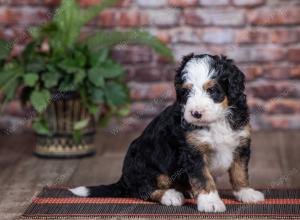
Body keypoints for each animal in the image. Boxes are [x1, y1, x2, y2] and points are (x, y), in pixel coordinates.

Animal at [70, 52, 264, 211]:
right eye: (186, 92)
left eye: (212, 90)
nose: (195, 113)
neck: (216, 121)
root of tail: (124, 178)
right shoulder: (193, 151)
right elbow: (203, 177)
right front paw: (211, 202)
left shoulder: (240, 143)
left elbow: (240, 172)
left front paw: (246, 193)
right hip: (145, 167)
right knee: (144, 190)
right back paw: (171, 195)